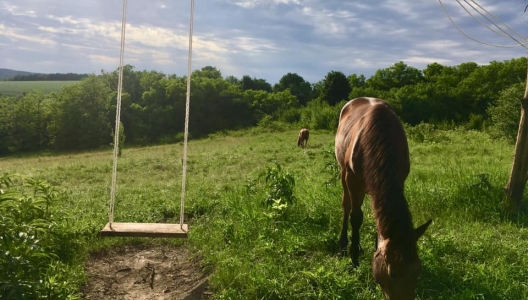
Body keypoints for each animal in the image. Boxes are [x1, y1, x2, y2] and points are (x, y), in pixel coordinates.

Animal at [336, 97, 432, 298]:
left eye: (418, 271)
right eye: (392, 273)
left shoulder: (400, 177)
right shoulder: (351, 178)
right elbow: (355, 216)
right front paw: (354, 259)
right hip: (343, 171)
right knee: (347, 205)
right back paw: (343, 244)